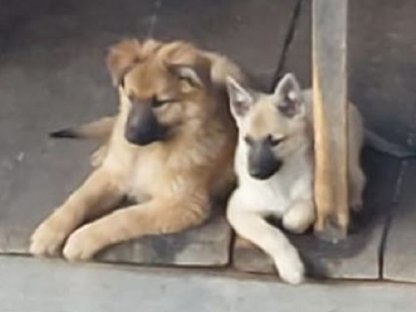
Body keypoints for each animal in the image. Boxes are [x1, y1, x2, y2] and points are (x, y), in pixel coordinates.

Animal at [30, 39, 244, 260]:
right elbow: (78, 199)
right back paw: (104, 152)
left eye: (159, 102)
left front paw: (83, 239)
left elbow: (126, 216)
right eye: (131, 97)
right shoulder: (111, 175)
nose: (130, 137)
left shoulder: (181, 204)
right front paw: (49, 231)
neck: (145, 153)